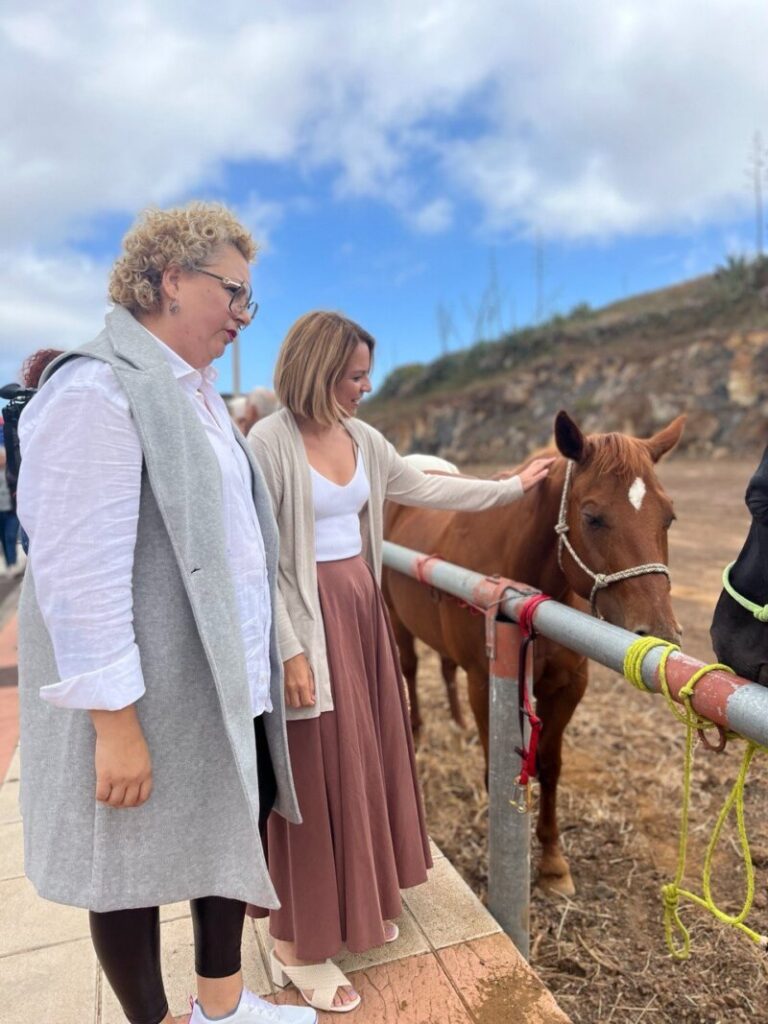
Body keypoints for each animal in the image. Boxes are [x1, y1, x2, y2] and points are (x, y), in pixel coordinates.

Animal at [382, 410, 685, 895]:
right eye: (592, 516)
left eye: (669, 517)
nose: (659, 633)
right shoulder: (486, 683)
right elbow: (498, 768)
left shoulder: (567, 687)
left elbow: (550, 766)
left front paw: (553, 863)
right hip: (397, 617)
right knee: (409, 668)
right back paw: (420, 732)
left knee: (444, 668)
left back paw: (456, 724)